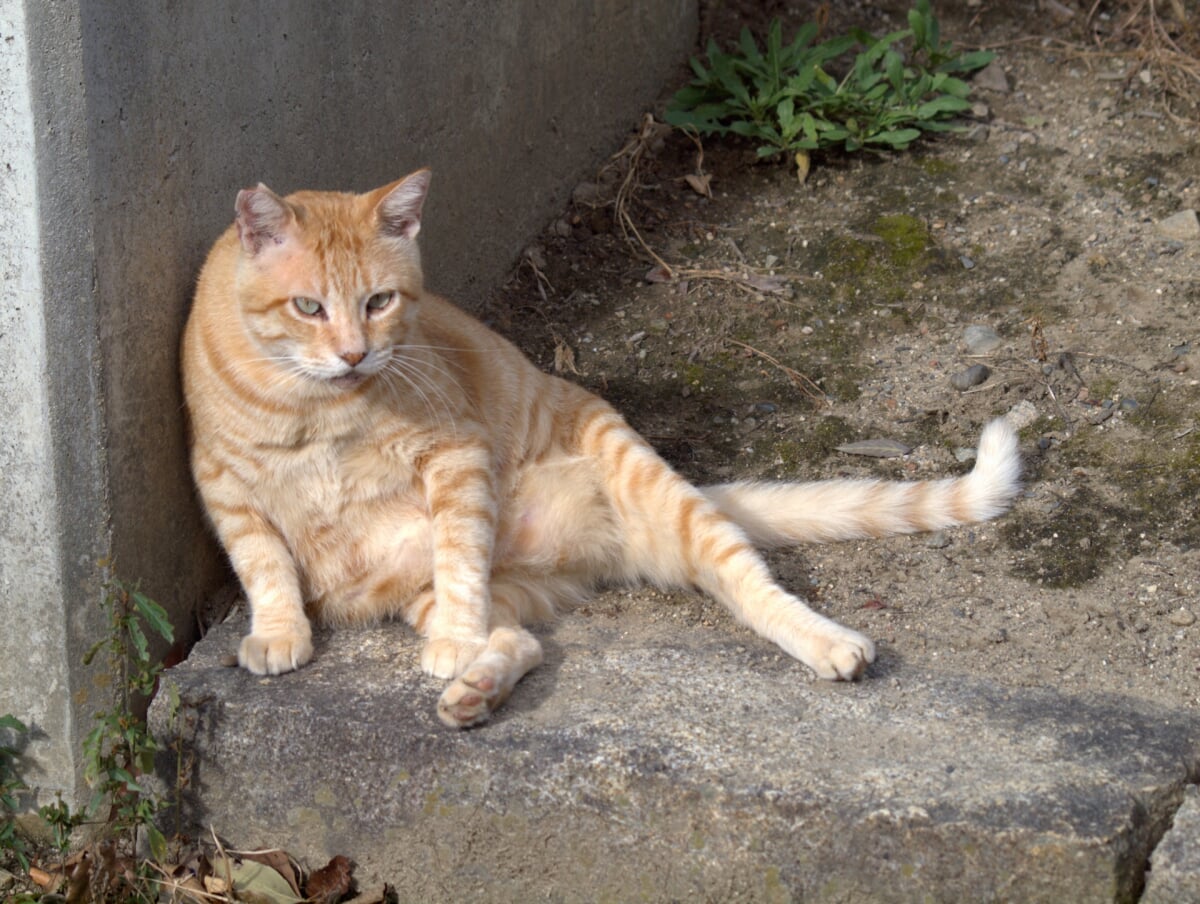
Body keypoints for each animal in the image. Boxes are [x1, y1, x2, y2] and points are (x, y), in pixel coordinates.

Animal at [182, 170, 1017, 725]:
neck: (318, 405)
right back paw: (476, 692)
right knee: (522, 640)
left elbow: (459, 556)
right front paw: (279, 632)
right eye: (309, 307)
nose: (355, 354)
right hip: (471, 592)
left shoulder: (455, 458)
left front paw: (452, 641)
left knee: (750, 582)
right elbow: (265, 565)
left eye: (379, 302)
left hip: (663, 500)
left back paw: (831, 643)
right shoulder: (223, 483)